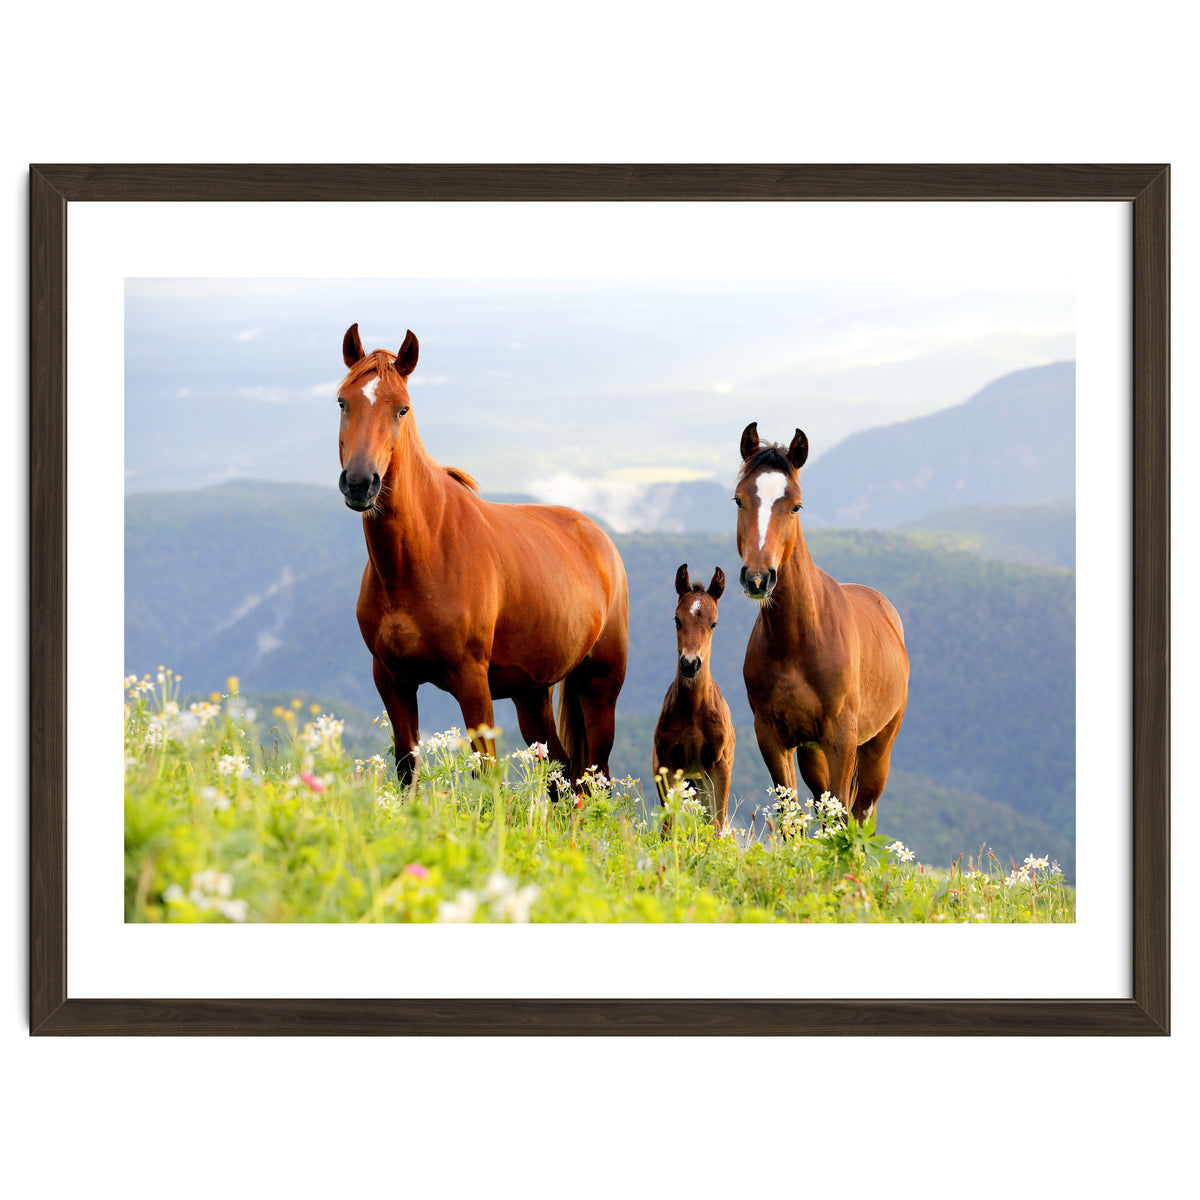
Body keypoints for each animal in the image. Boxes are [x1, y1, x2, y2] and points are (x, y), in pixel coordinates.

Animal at [336, 323, 629, 787]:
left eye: (401, 409)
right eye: (343, 402)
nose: (361, 483)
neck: (420, 557)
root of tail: (599, 538)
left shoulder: (472, 681)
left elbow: (488, 776)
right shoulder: (392, 679)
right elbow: (406, 768)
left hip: (600, 686)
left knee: (593, 777)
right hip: (532, 694)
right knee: (561, 773)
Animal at [651, 564, 736, 829]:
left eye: (714, 623)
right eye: (677, 619)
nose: (690, 663)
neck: (693, 711)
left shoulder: (719, 765)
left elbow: (718, 823)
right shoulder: (667, 764)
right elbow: (668, 825)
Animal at [734, 423, 909, 821]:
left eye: (796, 505)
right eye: (739, 500)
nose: (758, 578)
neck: (798, 641)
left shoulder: (841, 738)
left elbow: (843, 813)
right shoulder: (773, 737)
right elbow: (790, 815)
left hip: (878, 747)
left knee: (862, 811)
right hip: (812, 753)